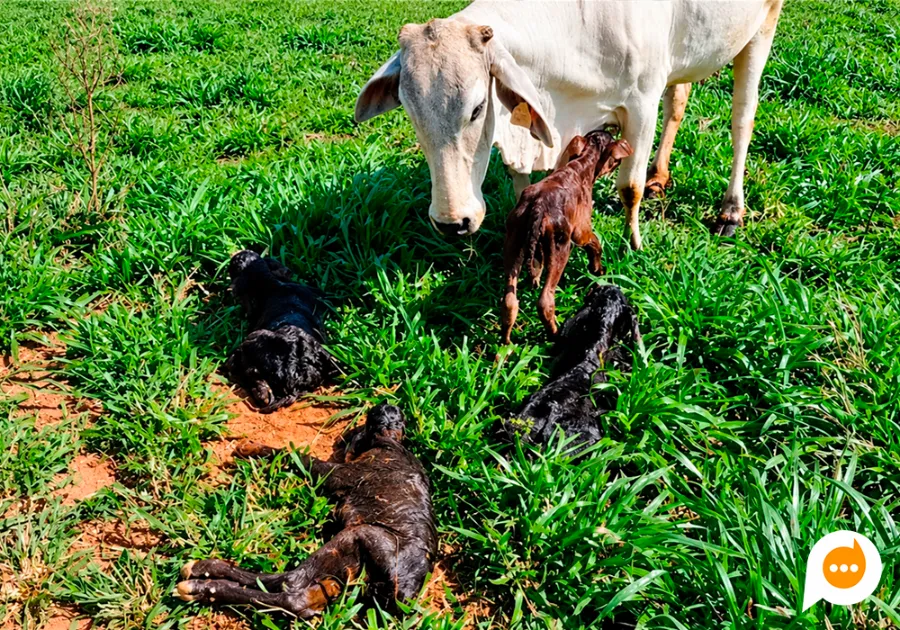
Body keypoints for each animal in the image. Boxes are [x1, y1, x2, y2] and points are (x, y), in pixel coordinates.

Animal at [354, 0, 785, 247]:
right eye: (410, 112)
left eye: (477, 109)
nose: (451, 222)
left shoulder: (641, 103)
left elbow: (629, 188)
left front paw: (633, 243)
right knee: (678, 99)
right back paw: (659, 176)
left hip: (762, 27)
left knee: (742, 118)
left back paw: (731, 212)